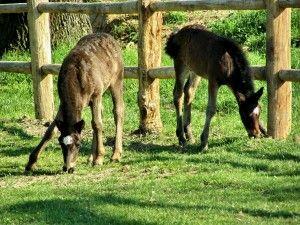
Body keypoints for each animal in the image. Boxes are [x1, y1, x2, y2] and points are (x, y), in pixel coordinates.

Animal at [25, 33, 124, 172]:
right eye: (61, 143)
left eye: (78, 144)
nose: (68, 167)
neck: (76, 78)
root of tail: (110, 37)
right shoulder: (63, 102)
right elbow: (50, 130)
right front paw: (31, 162)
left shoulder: (96, 95)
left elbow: (97, 124)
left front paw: (99, 158)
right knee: (101, 112)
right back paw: (90, 157)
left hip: (116, 81)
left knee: (118, 111)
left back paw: (115, 154)